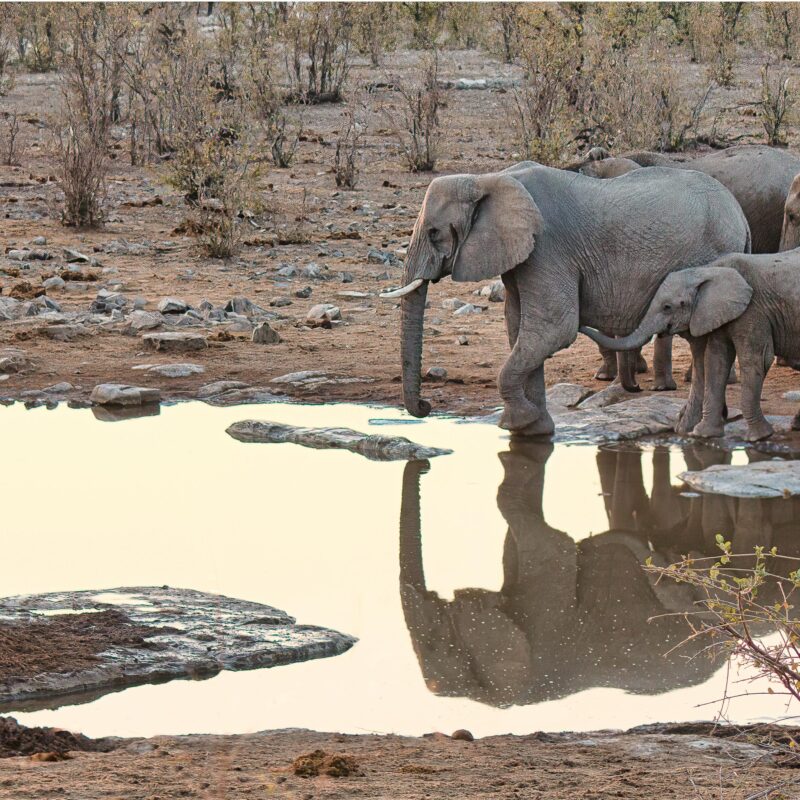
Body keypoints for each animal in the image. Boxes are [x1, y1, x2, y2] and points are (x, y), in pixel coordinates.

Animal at [384, 159, 752, 432]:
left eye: (434, 233)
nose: (426, 406)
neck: (491, 179)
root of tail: (741, 216)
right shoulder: (524, 254)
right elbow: (519, 328)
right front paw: (535, 430)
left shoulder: (548, 248)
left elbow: (552, 329)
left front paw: (519, 422)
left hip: (711, 257)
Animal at [580, 250, 800, 440]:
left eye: (667, 307)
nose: (638, 387)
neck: (708, 270)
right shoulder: (716, 312)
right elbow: (716, 360)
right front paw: (703, 435)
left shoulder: (753, 311)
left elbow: (755, 360)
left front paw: (758, 437)